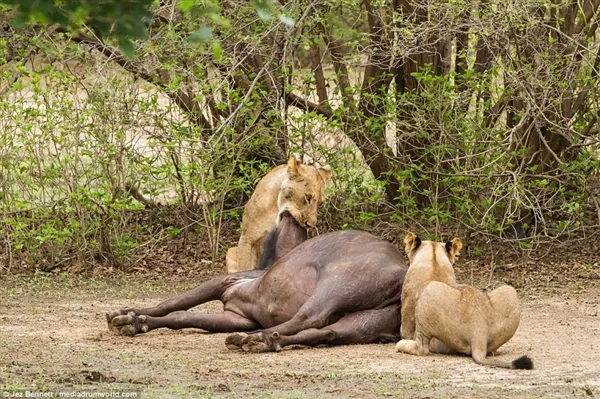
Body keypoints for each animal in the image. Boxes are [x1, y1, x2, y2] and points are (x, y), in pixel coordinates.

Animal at [396, 233, 532, 370]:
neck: (434, 261)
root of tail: (478, 332)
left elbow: (404, 329)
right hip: (509, 290)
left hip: (430, 291)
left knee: (422, 348)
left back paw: (401, 345)